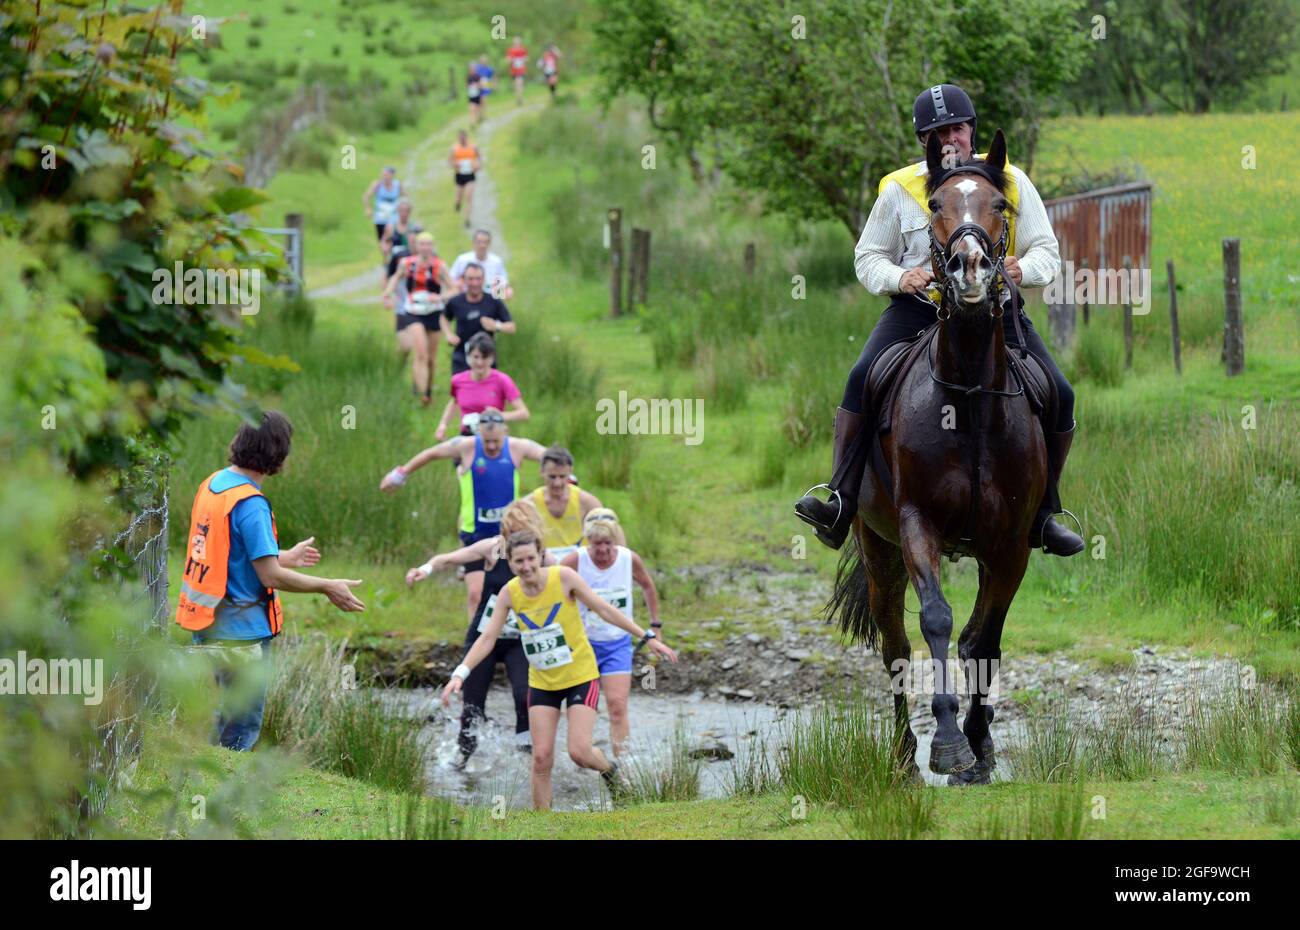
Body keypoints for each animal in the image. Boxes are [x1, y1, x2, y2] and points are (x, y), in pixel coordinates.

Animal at [826, 129, 1050, 785]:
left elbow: (985, 641)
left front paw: (979, 746)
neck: (970, 399)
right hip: (879, 549)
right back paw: (903, 758)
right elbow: (938, 622)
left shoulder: (1009, 545)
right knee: (896, 647)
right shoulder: (916, 525)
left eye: (999, 206)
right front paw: (949, 743)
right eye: (934, 207)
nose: (970, 269)